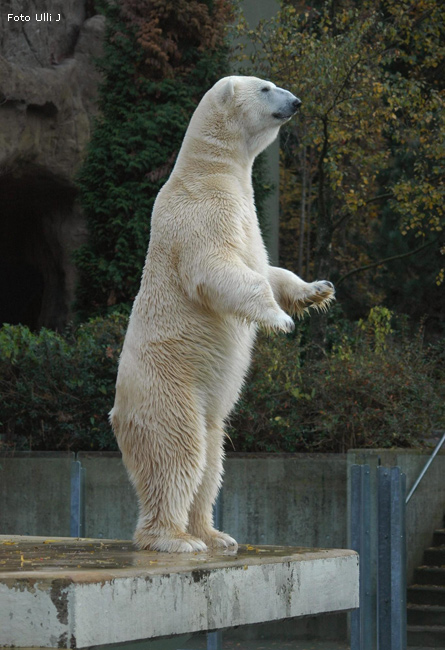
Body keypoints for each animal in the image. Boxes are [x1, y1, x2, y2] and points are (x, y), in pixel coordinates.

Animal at [110, 77, 332, 552]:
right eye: (266, 87)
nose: (296, 102)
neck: (207, 170)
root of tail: (118, 413)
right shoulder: (202, 210)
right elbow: (218, 268)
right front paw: (280, 321)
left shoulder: (247, 216)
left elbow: (268, 268)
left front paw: (317, 291)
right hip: (169, 388)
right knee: (178, 451)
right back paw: (175, 539)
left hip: (204, 405)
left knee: (213, 457)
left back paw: (213, 533)